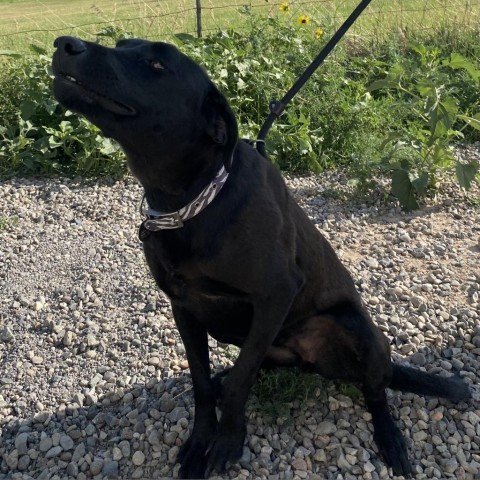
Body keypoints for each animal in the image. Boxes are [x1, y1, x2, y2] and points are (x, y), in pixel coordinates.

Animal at [52, 35, 472, 478]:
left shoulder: (276, 293)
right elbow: (201, 381)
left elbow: (241, 382)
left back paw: (391, 439)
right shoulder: (183, 306)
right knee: (252, 366)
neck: (193, 202)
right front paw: (200, 439)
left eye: (156, 64)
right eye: (121, 45)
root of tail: (305, 359)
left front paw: (227, 442)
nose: (65, 44)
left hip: (358, 332)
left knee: (373, 390)